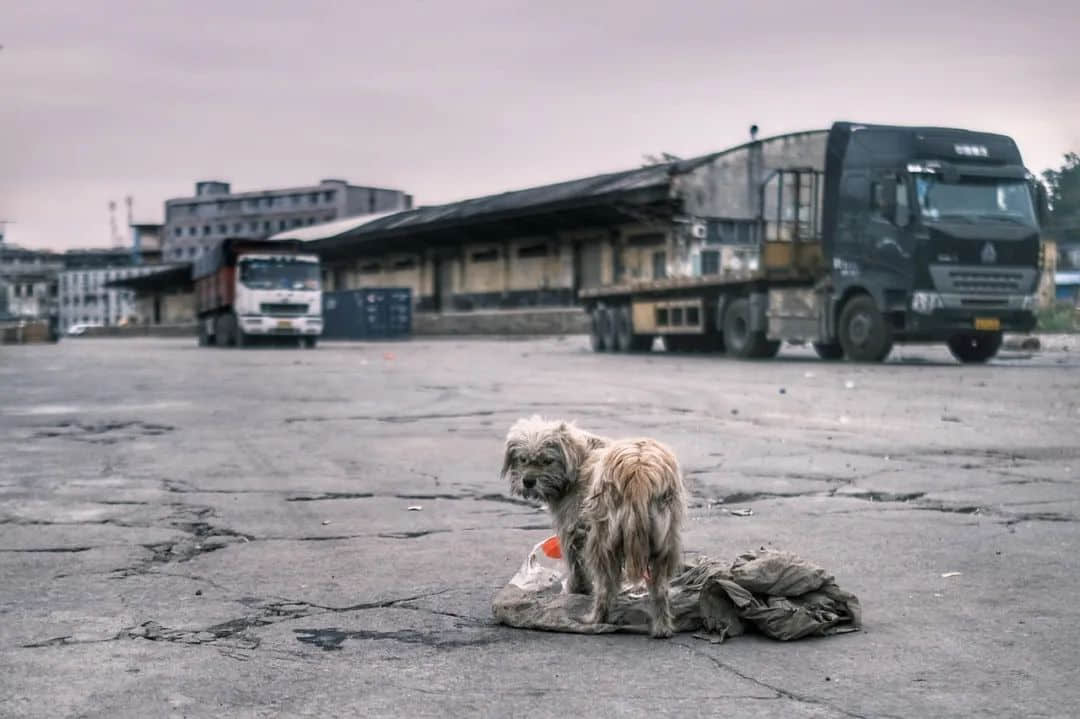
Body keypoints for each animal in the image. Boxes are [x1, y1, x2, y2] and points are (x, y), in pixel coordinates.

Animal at [501, 414, 686, 639]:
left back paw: (595, 619)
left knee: (606, 587)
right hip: (664, 541)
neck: (579, 460)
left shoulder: (572, 529)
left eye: (547, 460)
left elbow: (576, 565)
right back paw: (662, 628)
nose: (528, 481)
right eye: (523, 459)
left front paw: (576, 590)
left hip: (602, 540)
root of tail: (638, 471)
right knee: (660, 589)